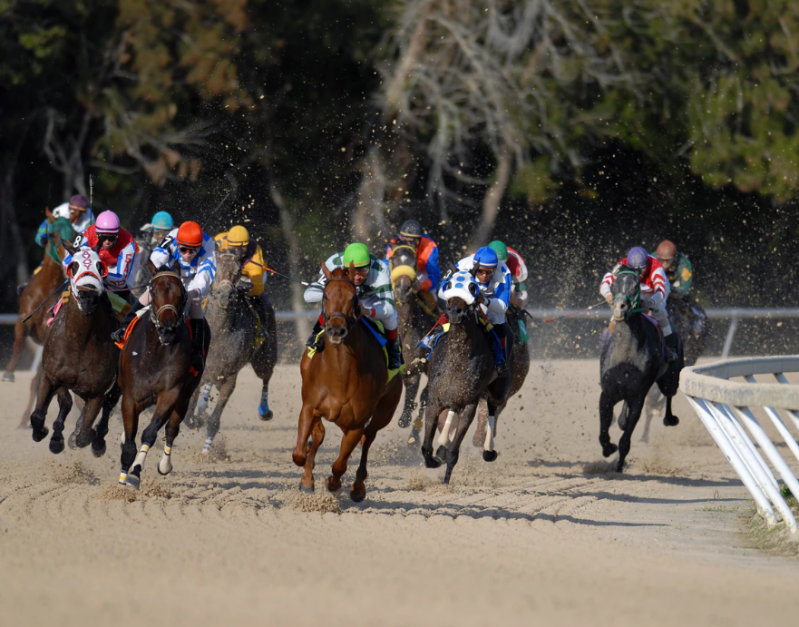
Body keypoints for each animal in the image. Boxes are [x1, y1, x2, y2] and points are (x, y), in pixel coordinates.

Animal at [29, 248, 119, 458]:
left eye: (101, 266)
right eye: (74, 266)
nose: (88, 295)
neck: (79, 342)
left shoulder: (97, 392)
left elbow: (84, 435)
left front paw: (83, 437)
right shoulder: (50, 376)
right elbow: (38, 415)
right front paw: (45, 433)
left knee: (107, 407)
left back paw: (97, 442)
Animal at [117, 270, 209, 490]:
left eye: (181, 293)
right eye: (153, 290)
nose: (167, 329)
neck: (154, 351)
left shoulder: (170, 393)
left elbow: (150, 433)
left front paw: (135, 473)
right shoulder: (130, 396)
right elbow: (130, 441)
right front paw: (122, 480)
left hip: (185, 395)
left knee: (172, 428)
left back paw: (165, 464)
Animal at [292, 268, 404, 502]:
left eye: (354, 298)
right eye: (326, 295)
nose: (336, 330)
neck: (340, 374)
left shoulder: (356, 422)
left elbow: (340, 464)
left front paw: (334, 483)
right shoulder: (309, 407)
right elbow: (300, 452)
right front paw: (307, 479)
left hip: (384, 412)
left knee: (368, 438)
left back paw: (358, 486)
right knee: (321, 436)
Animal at [422, 272, 510, 486]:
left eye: (472, 287)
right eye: (449, 284)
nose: (455, 311)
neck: (457, 358)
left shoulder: (470, 403)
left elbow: (454, 452)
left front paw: (445, 480)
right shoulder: (434, 400)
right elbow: (426, 447)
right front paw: (434, 459)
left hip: (498, 389)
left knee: (493, 408)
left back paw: (488, 450)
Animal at [600, 268, 680, 474]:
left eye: (636, 286)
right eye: (614, 284)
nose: (620, 307)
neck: (626, 352)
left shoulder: (638, 396)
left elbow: (626, 439)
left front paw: (619, 466)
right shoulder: (607, 393)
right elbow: (603, 430)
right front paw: (608, 448)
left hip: (670, 379)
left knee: (669, 394)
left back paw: (669, 418)